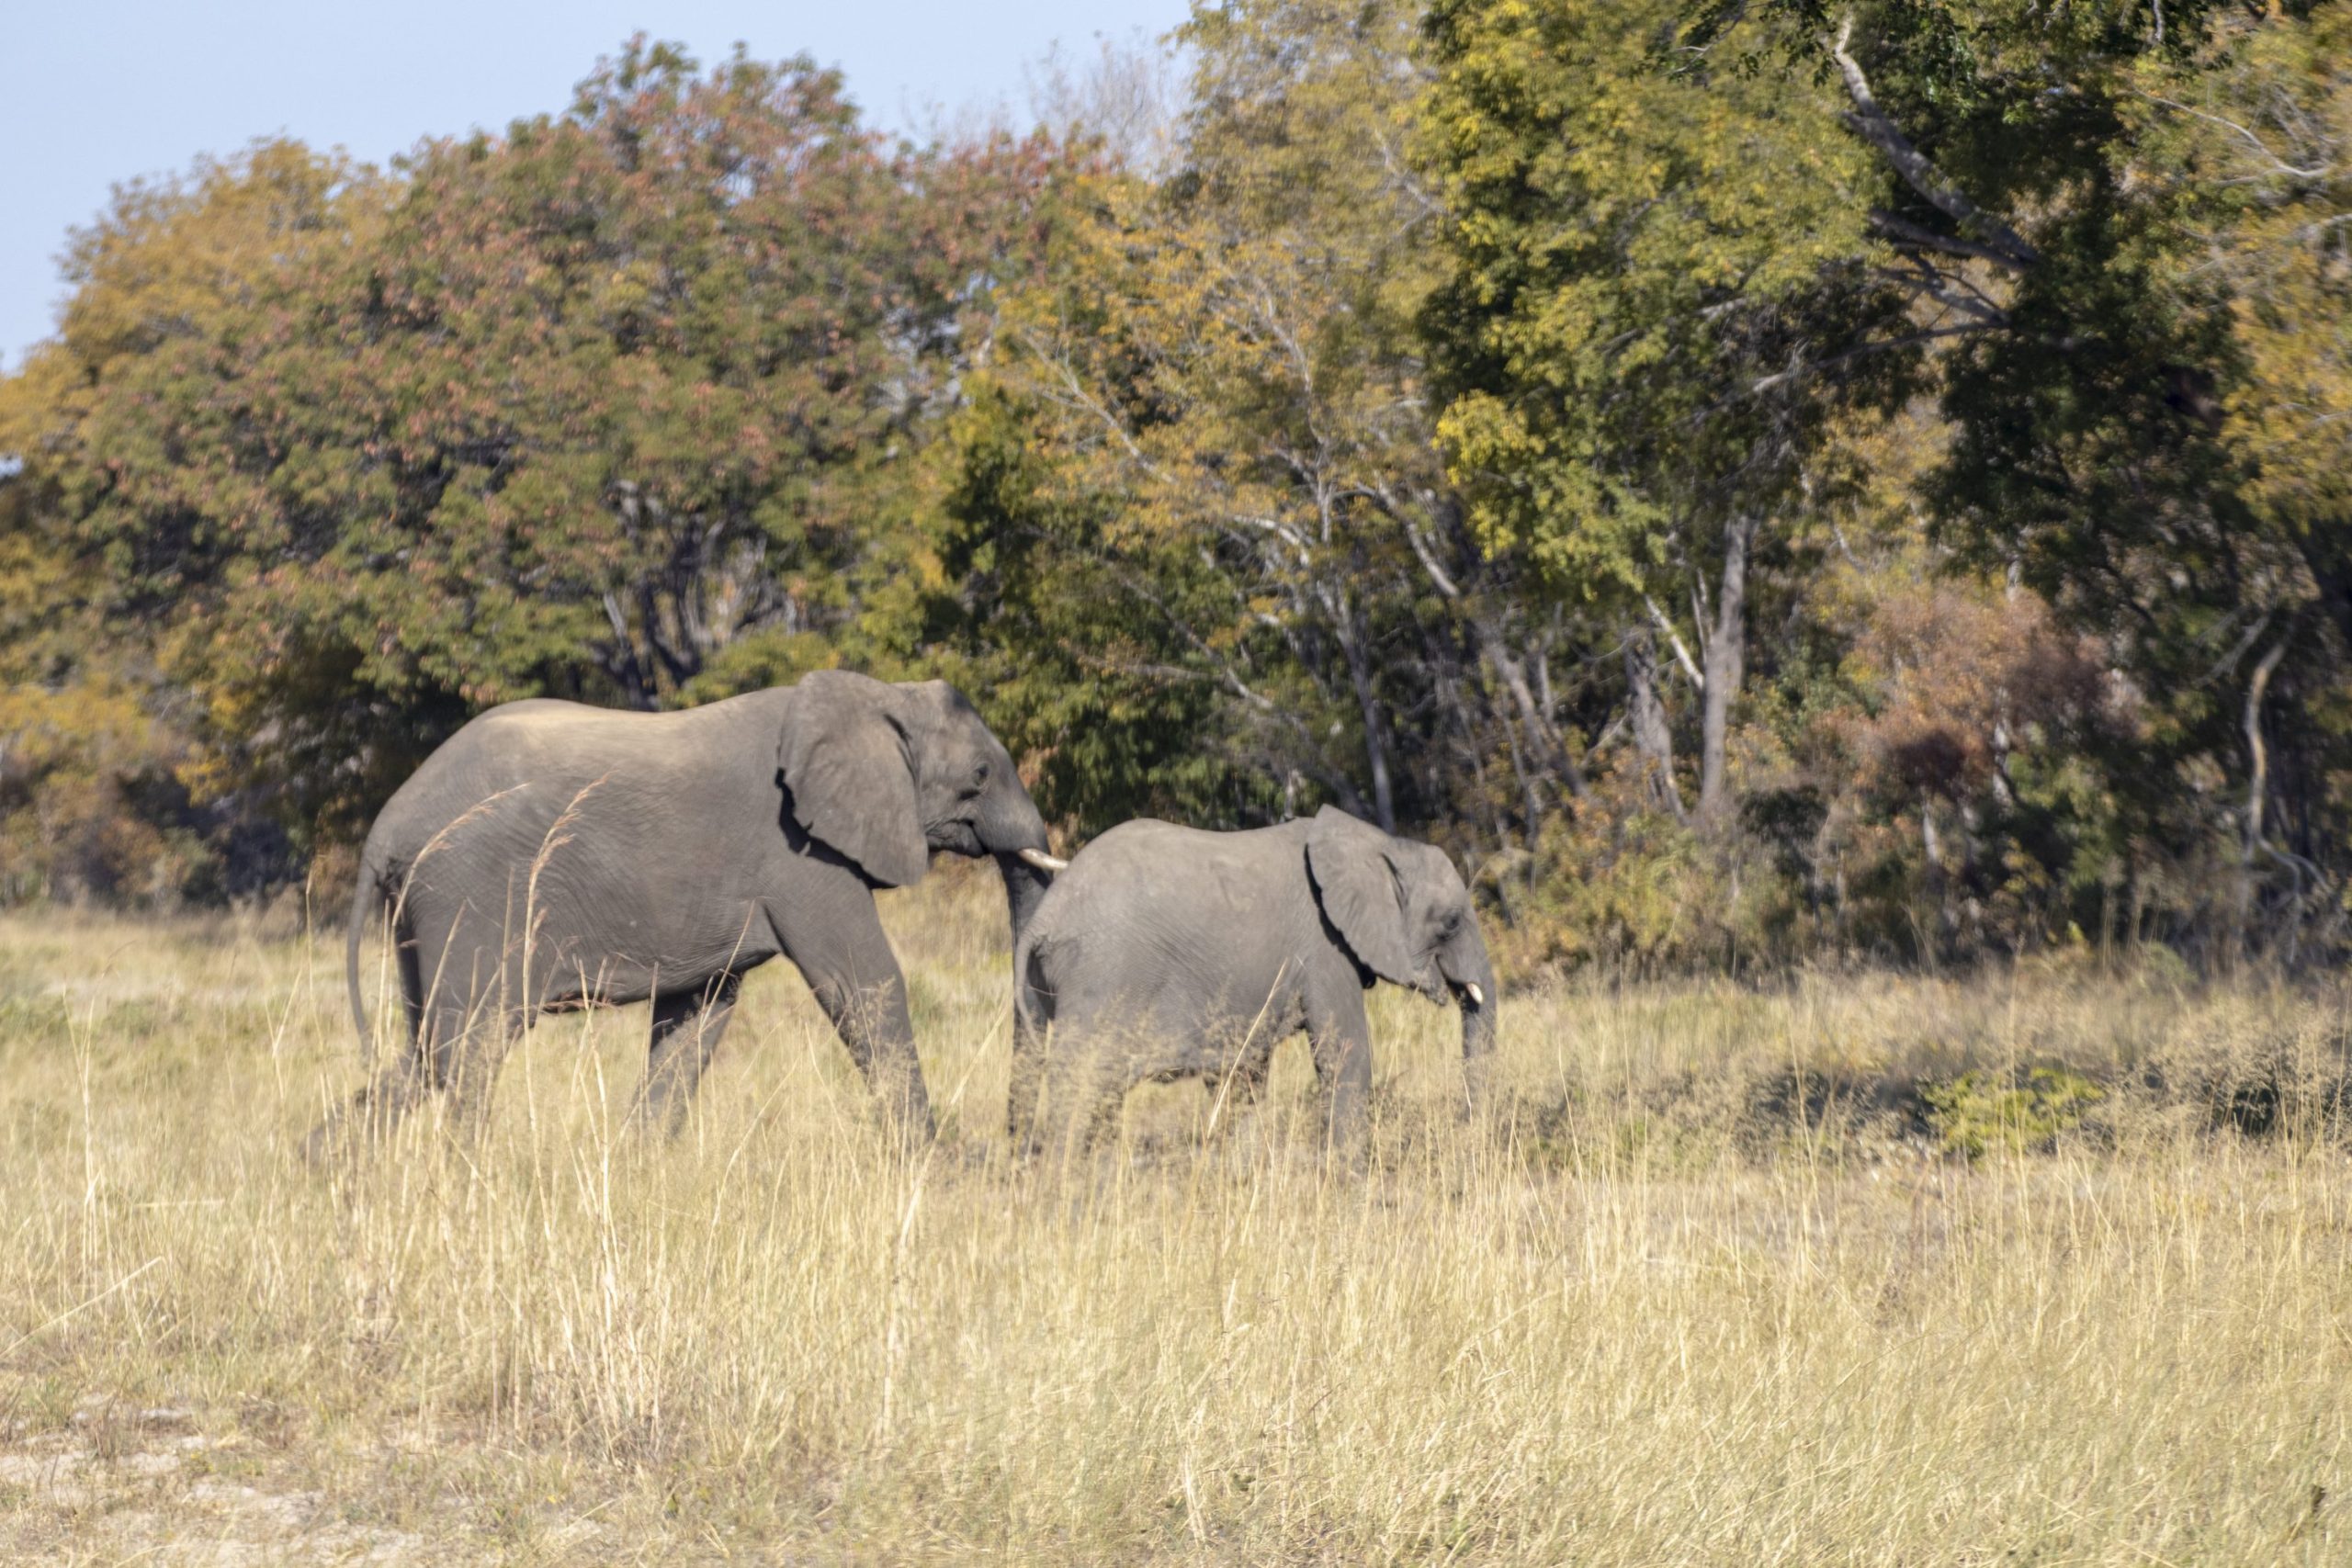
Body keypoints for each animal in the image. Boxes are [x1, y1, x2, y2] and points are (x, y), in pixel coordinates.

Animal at [304, 670, 1061, 1159]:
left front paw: (638, 1167)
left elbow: (698, 1016)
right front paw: (930, 1163)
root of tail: (386, 823)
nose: (1018, 1149)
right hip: (469, 891)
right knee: (472, 1043)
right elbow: (865, 982)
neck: (877, 695)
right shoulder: (799, 850)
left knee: (427, 1049)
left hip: (426, 906)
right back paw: (470, 1173)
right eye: (979, 777)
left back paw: (326, 1165)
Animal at [1007, 805, 1496, 1159]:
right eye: (1452, 922)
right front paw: (1349, 1172)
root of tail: (1044, 919)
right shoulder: (1324, 947)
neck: (1379, 844)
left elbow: (1245, 1074)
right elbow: (1346, 1053)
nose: (1466, 1129)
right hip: (1102, 976)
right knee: (1083, 1084)